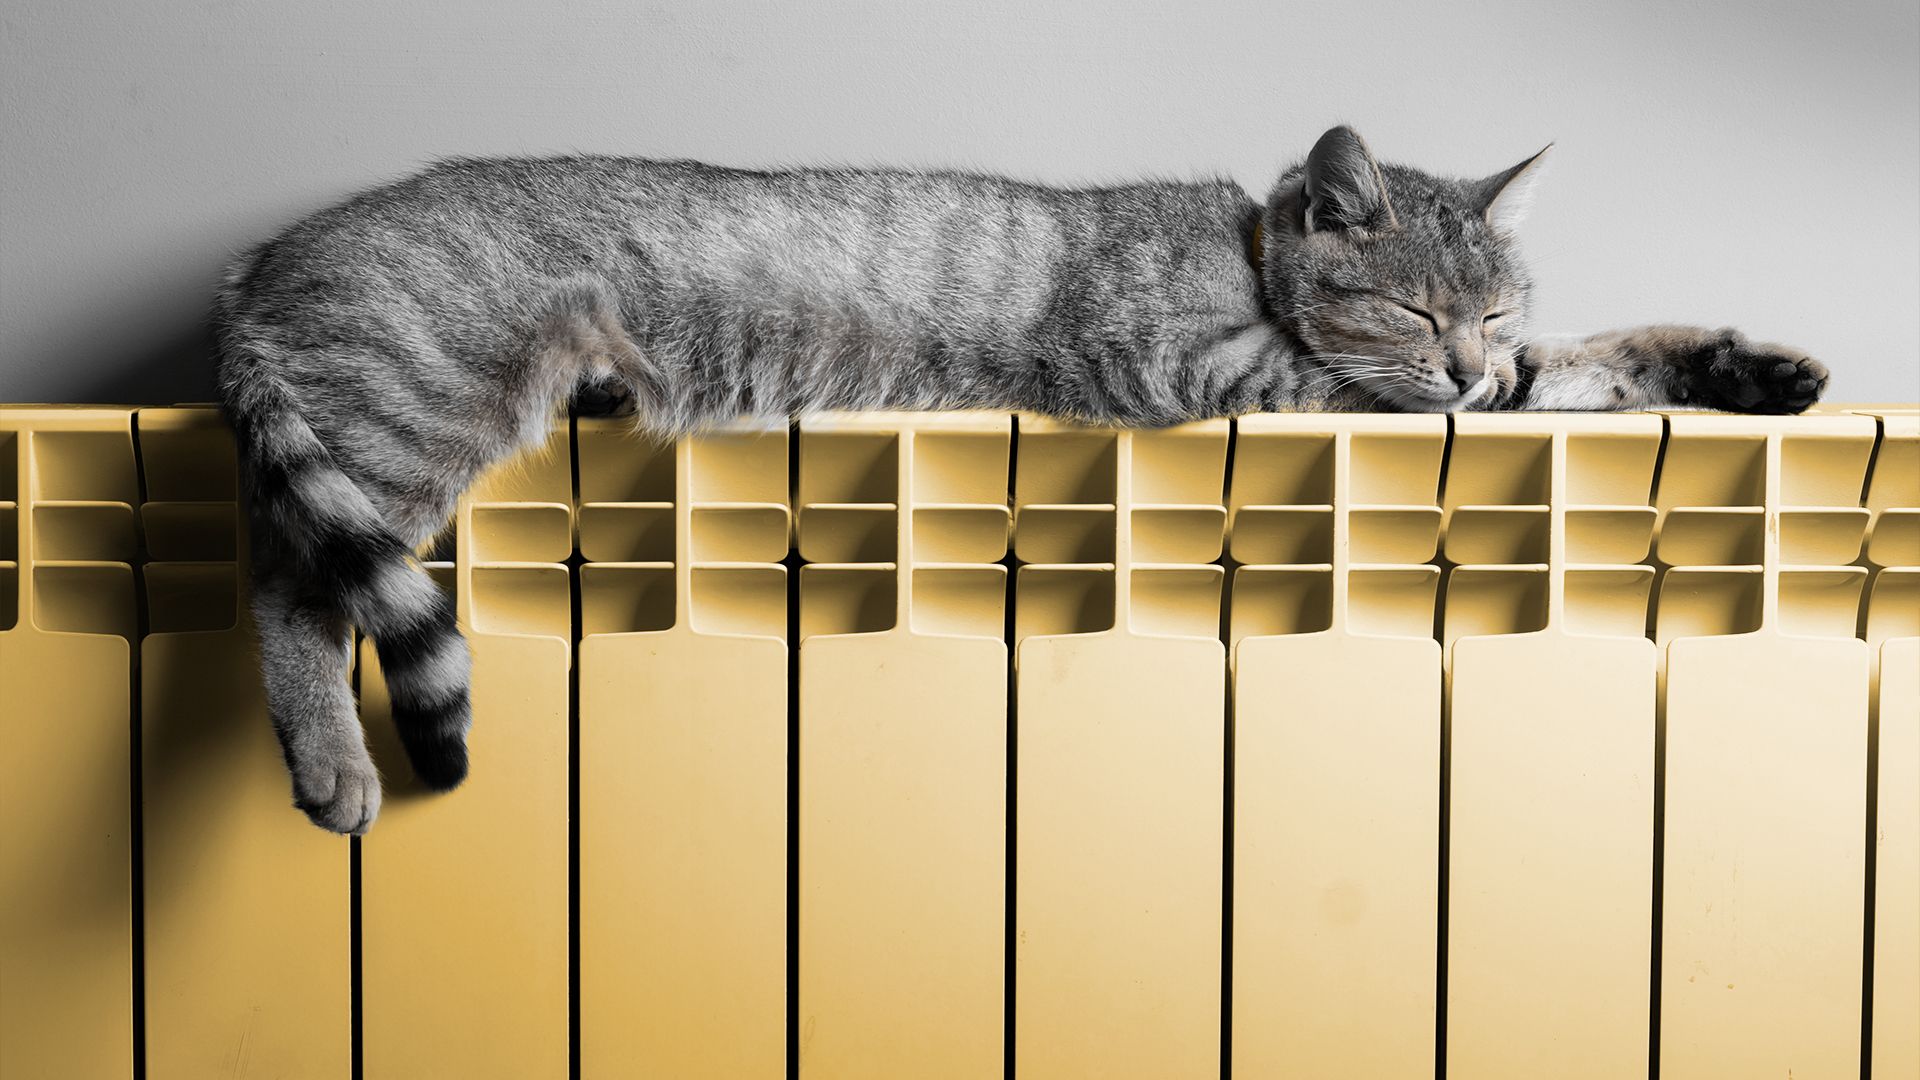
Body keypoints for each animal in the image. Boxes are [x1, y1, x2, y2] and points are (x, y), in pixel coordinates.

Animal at [217, 125, 1820, 834]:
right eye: (1417, 311)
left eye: (1493, 305)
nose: (1467, 363)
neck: (1241, 253)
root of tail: (256, 264)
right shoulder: (1218, 374)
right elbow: (1423, 401)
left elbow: (1587, 362)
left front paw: (1744, 367)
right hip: (409, 418)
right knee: (288, 595)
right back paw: (335, 767)